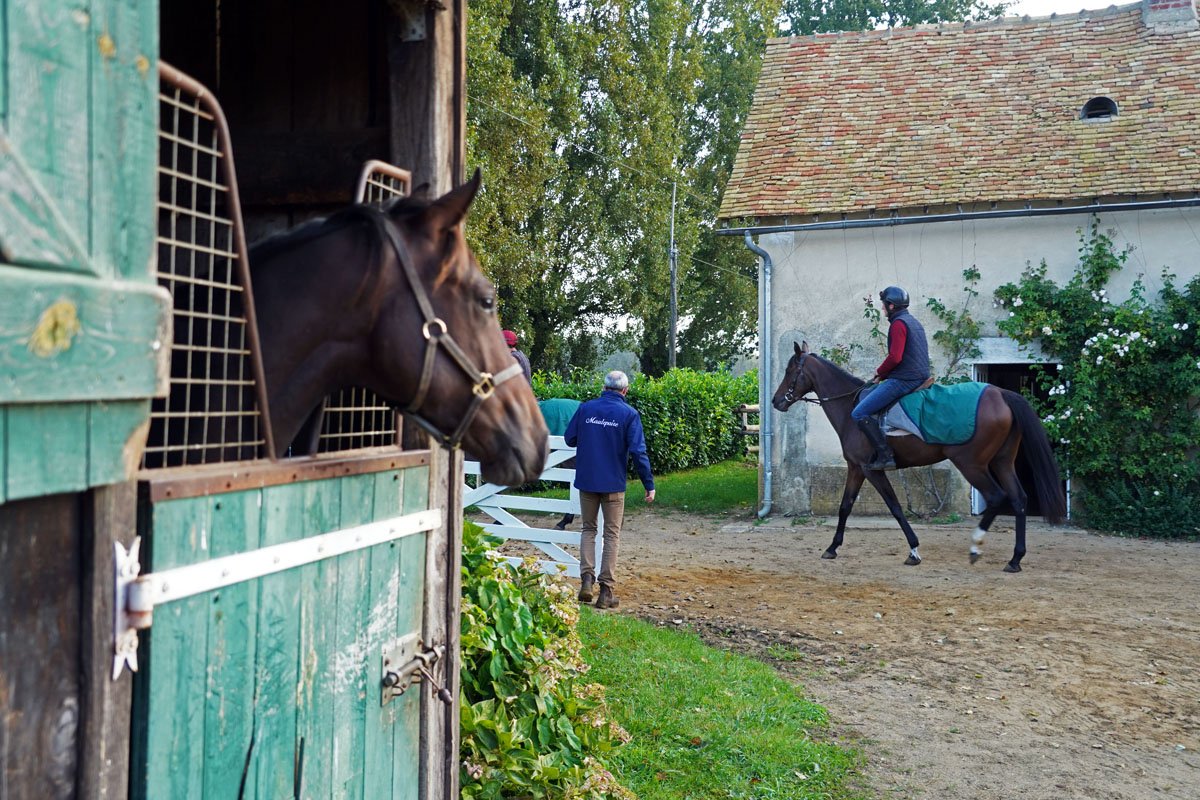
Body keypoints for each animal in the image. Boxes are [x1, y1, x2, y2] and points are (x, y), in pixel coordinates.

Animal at [771, 342, 1066, 572]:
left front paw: (913, 550)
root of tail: (1000, 394)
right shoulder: (856, 468)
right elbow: (845, 506)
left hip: (973, 465)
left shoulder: (871, 469)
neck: (850, 407)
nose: (776, 401)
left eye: (789, 371)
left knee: (996, 497)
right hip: (1002, 462)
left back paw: (976, 548)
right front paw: (832, 547)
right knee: (1018, 499)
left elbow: (895, 507)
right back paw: (1015, 559)